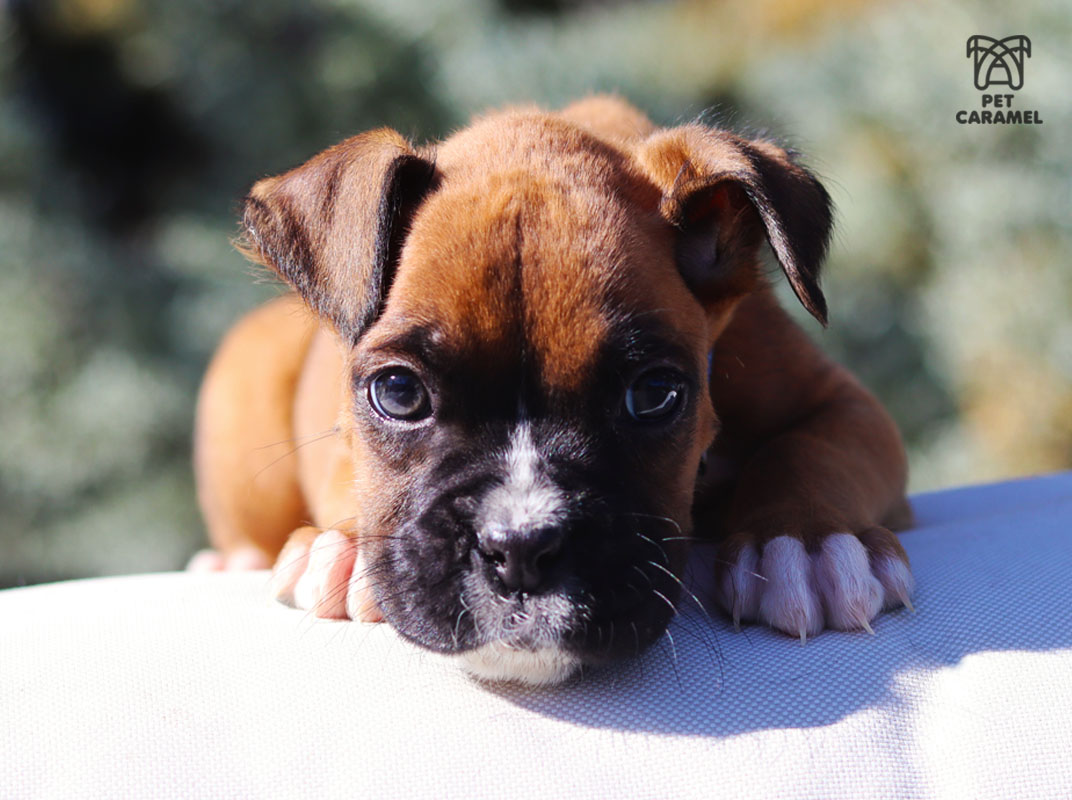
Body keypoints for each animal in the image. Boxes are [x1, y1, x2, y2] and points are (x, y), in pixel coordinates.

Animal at [191, 96, 915, 685]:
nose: (519, 550)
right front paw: (340, 546)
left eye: (655, 393)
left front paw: (804, 543)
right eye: (398, 393)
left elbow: (813, 450)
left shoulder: (848, 407)